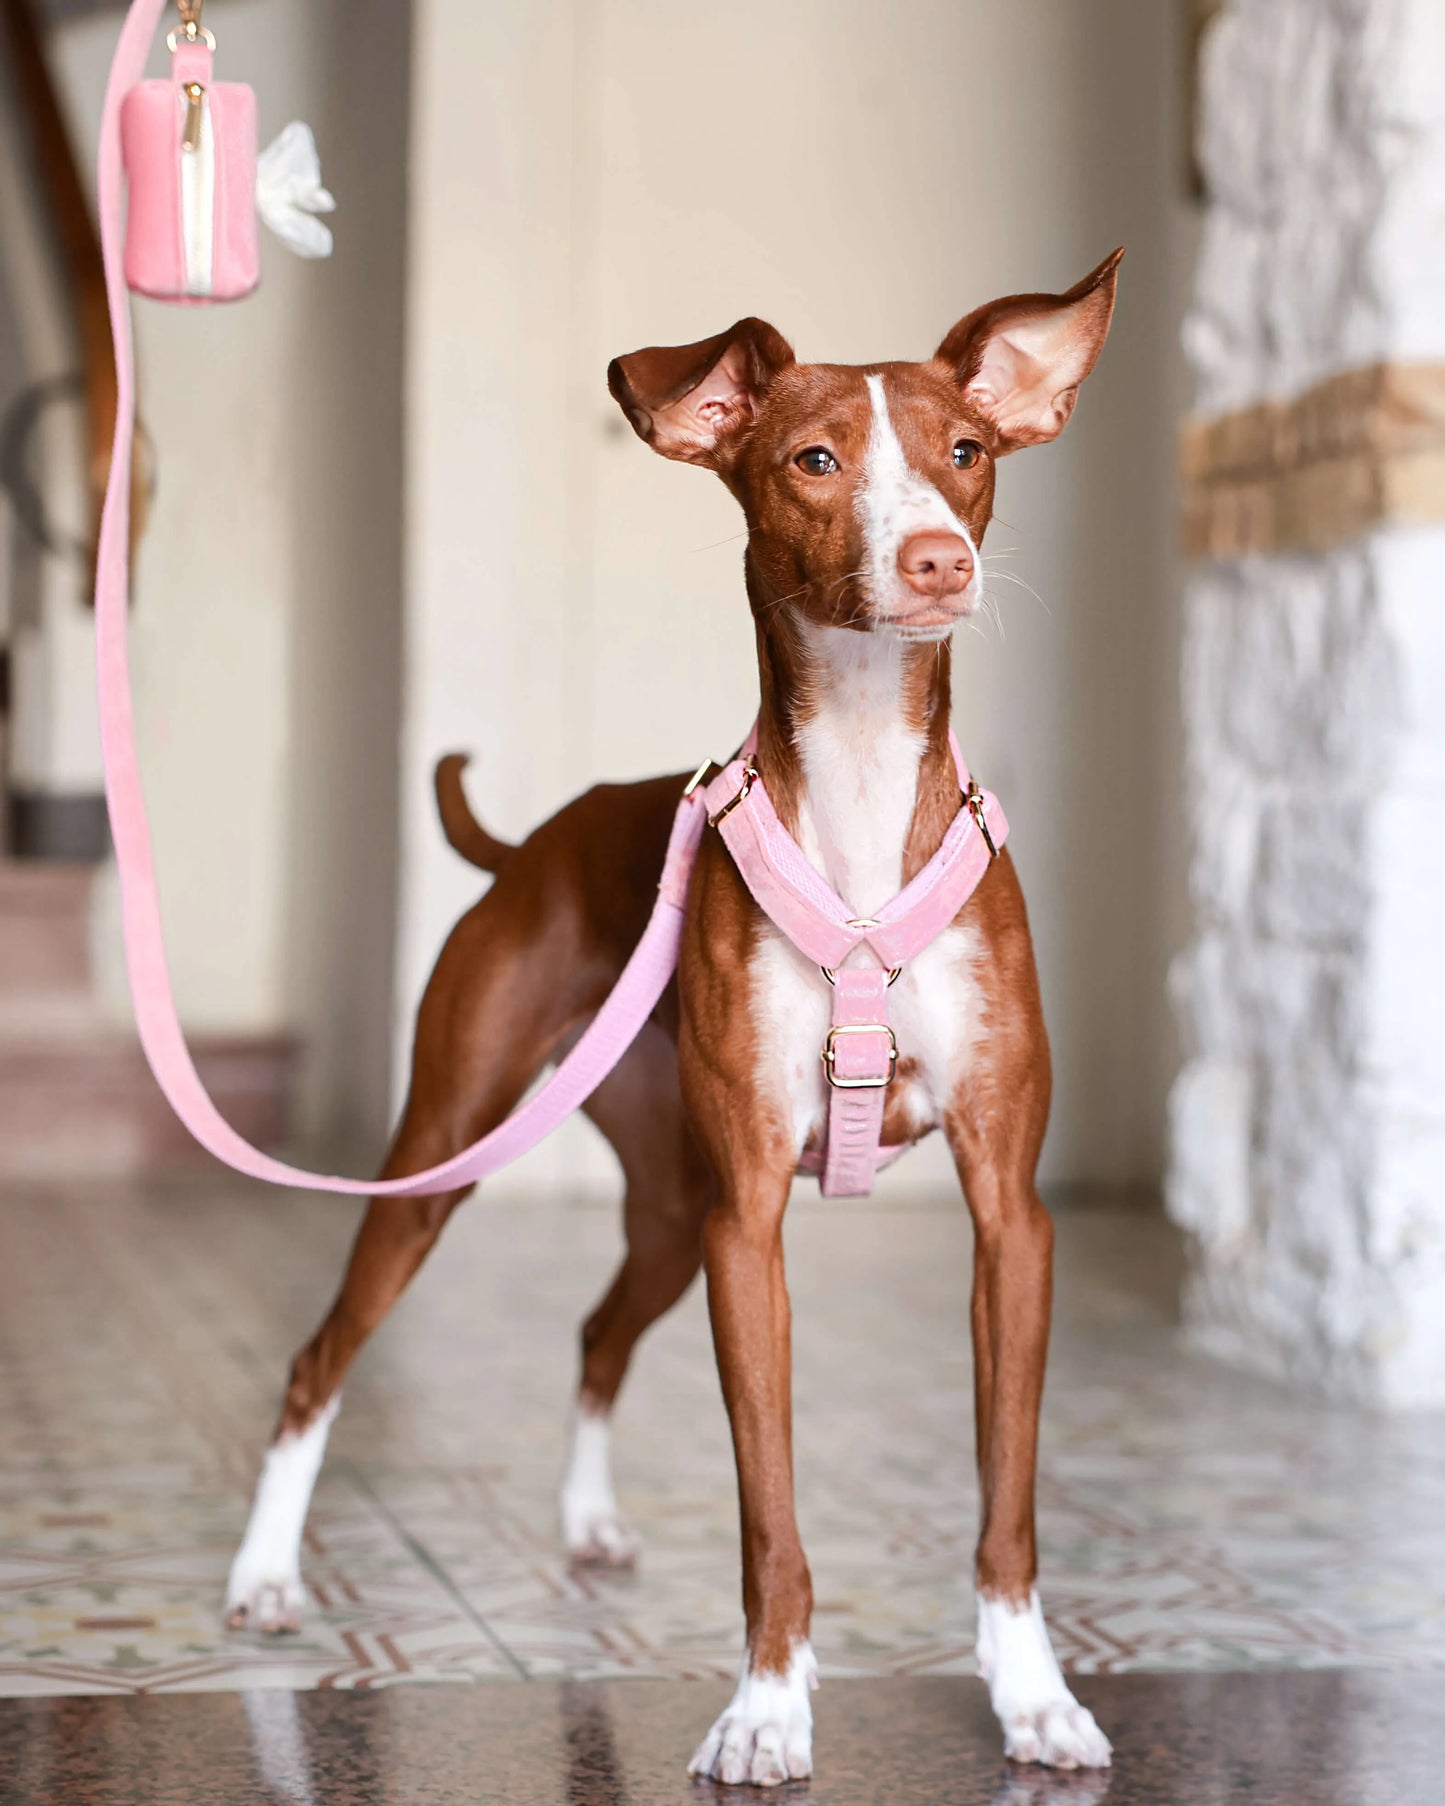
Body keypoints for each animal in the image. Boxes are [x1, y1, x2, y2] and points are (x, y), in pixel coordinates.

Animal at [228, 247, 1127, 1784]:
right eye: (815, 460)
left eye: (966, 453)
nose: (937, 559)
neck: (862, 801)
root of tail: (538, 840)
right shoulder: (747, 1222)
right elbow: (769, 1510)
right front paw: (767, 1706)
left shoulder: (1008, 1218)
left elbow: (1006, 1496)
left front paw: (1031, 1694)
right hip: (452, 1152)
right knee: (316, 1358)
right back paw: (267, 1574)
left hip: (662, 1203)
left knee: (596, 1331)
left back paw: (584, 1521)